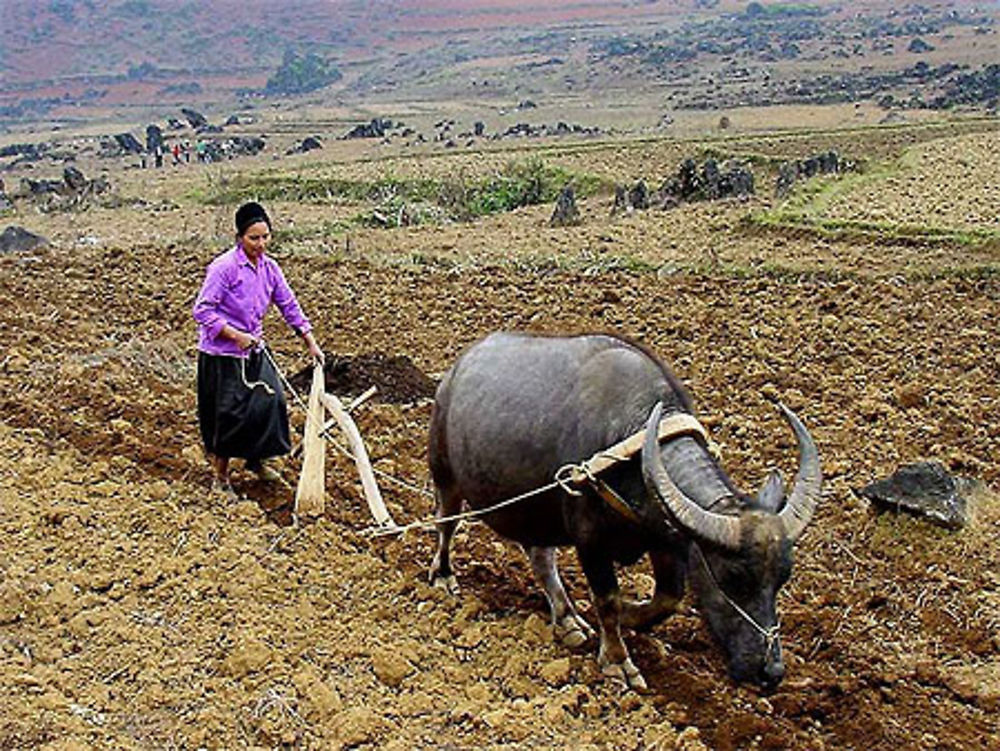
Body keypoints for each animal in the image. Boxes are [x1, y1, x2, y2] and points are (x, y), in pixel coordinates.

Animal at [430, 332, 820, 692]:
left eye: (782, 579)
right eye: (733, 577)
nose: (770, 672)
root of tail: (455, 371)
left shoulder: (662, 536)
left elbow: (668, 598)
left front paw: (634, 616)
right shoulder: (590, 539)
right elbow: (608, 601)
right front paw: (618, 661)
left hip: (535, 510)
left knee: (541, 557)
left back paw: (567, 619)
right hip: (445, 475)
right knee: (446, 524)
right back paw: (443, 575)